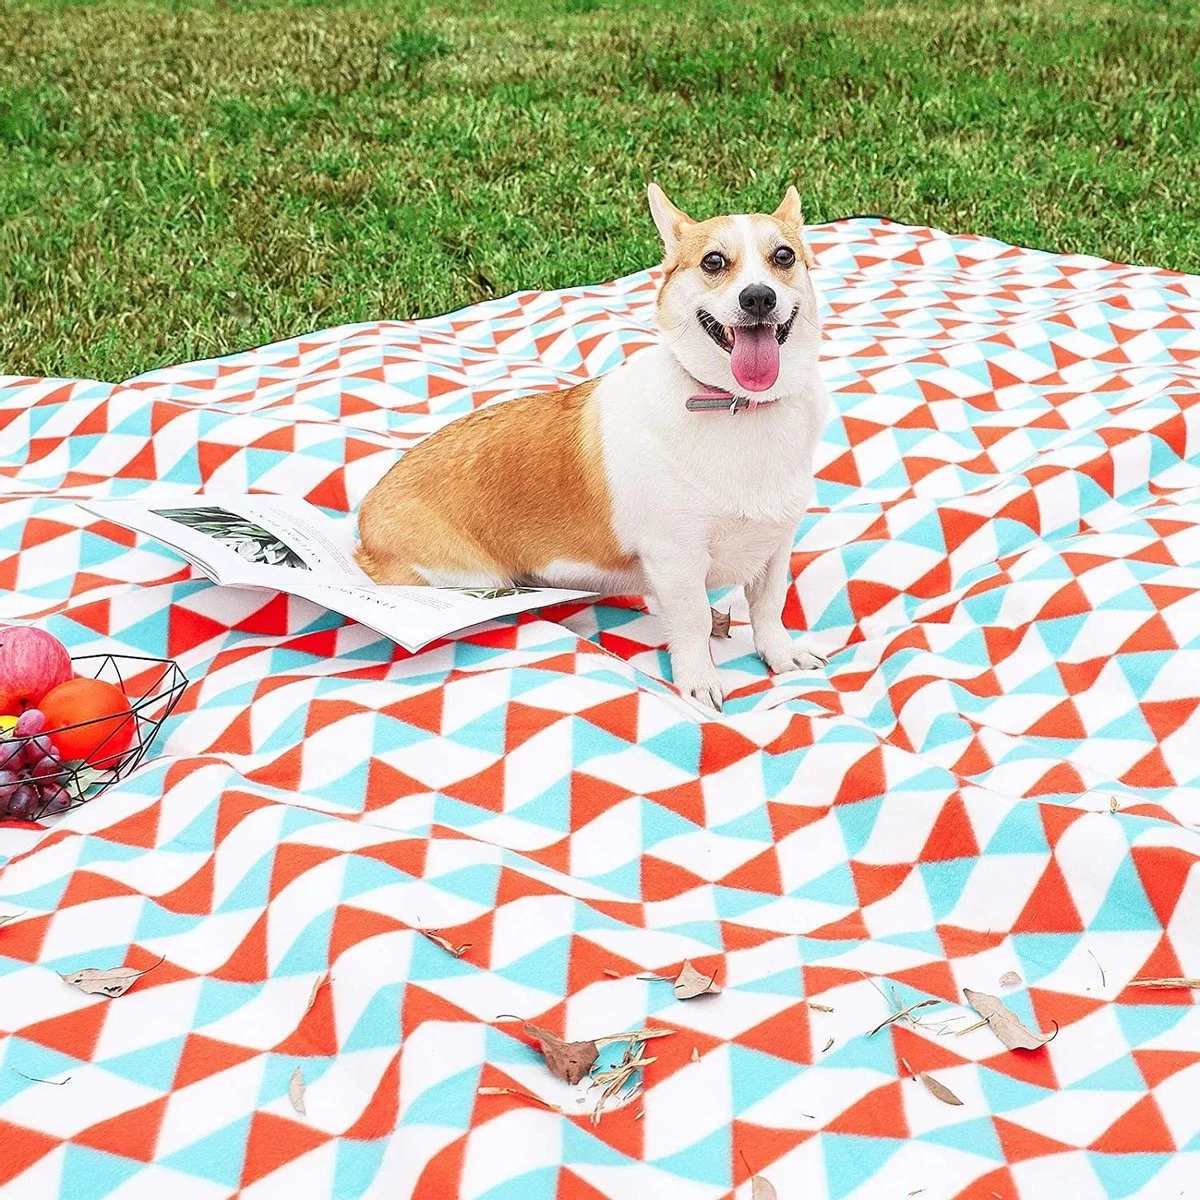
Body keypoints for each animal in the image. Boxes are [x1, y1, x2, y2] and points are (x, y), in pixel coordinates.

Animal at [355, 183, 830, 710]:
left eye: (784, 256)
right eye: (713, 261)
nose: (759, 297)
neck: (735, 405)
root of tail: (364, 519)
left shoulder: (774, 547)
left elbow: (768, 607)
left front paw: (781, 655)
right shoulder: (677, 559)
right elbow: (692, 622)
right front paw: (698, 680)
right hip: (474, 580)